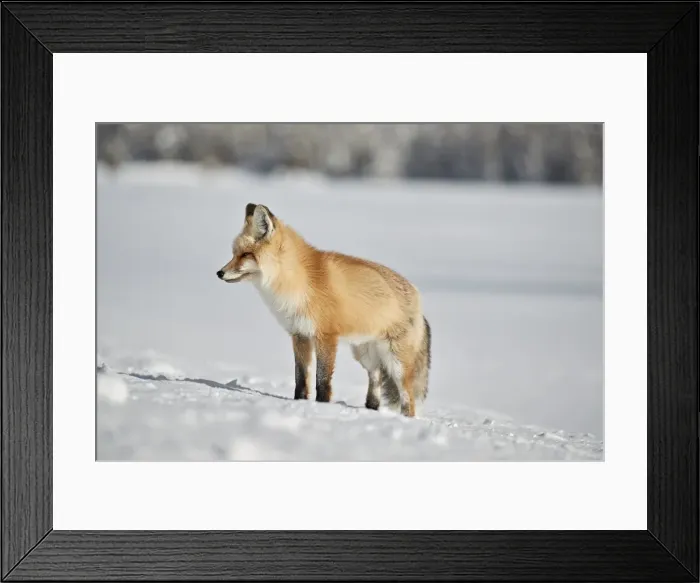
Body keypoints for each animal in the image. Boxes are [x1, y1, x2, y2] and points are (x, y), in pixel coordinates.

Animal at [216, 203, 432, 417]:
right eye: (234, 253)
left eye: (246, 254)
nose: (219, 273)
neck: (297, 283)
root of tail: (417, 294)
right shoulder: (300, 335)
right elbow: (301, 379)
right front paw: (300, 403)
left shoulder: (326, 336)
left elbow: (322, 381)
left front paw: (321, 407)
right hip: (365, 355)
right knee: (375, 380)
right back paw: (371, 409)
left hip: (396, 362)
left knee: (408, 398)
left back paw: (406, 418)